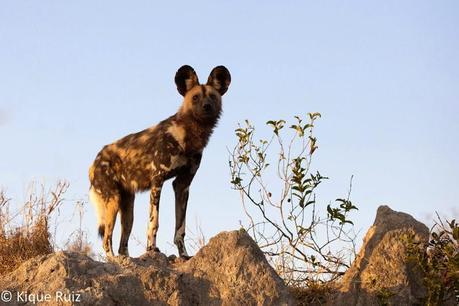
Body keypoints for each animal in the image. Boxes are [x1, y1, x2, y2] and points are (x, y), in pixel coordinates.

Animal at [88, 65, 232, 258]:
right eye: (195, 97)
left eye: (213, 96)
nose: (207, 107)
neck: (189, 136)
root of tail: (95, 161)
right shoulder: (157, 181)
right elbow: (153, 222)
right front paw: (152, 250)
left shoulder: (182, 185)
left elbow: (180, 228)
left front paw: (184, 255)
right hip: (112, 201)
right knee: (106, 240)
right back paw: (114, 261)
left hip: (127, 207)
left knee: (122, 243)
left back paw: (126, 259)